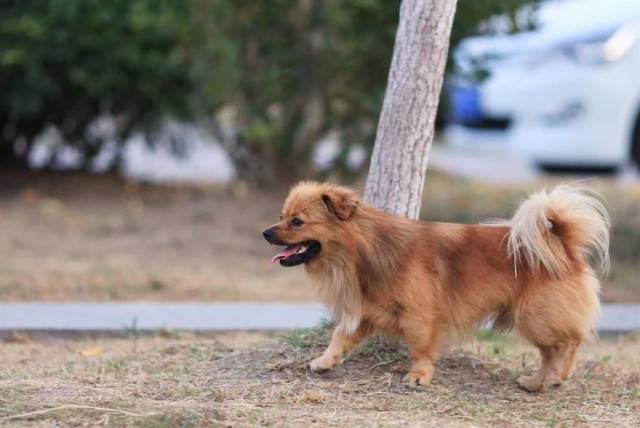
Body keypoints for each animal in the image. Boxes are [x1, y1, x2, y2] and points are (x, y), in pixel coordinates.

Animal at [262, 181, 608, 392]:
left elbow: (420, 347)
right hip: (533, 321)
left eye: (297, 221)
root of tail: (563, 245)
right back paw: (537, 381)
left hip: (535, 317)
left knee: (569, 343)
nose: (266, 232)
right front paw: (325, 361)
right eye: (282, 216)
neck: (365, 249)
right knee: (551, 352)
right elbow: (339, 337)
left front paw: (419, 375)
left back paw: (559, 376)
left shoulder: (418, 316)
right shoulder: (367, 312)